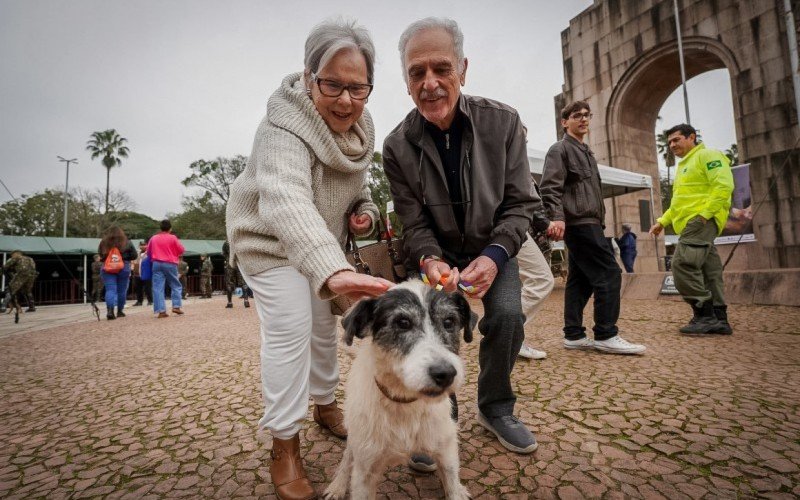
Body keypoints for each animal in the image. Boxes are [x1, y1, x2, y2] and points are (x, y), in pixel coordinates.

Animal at [324, 282, 476, 500]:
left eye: (449, 321)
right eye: (403, 322)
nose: (445, 374)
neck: (405, 402)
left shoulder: (447, 453)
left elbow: (452, 482)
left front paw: (459, 490)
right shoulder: (365, 470)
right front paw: (338, 485)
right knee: (347, 457)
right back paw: (337, 485)